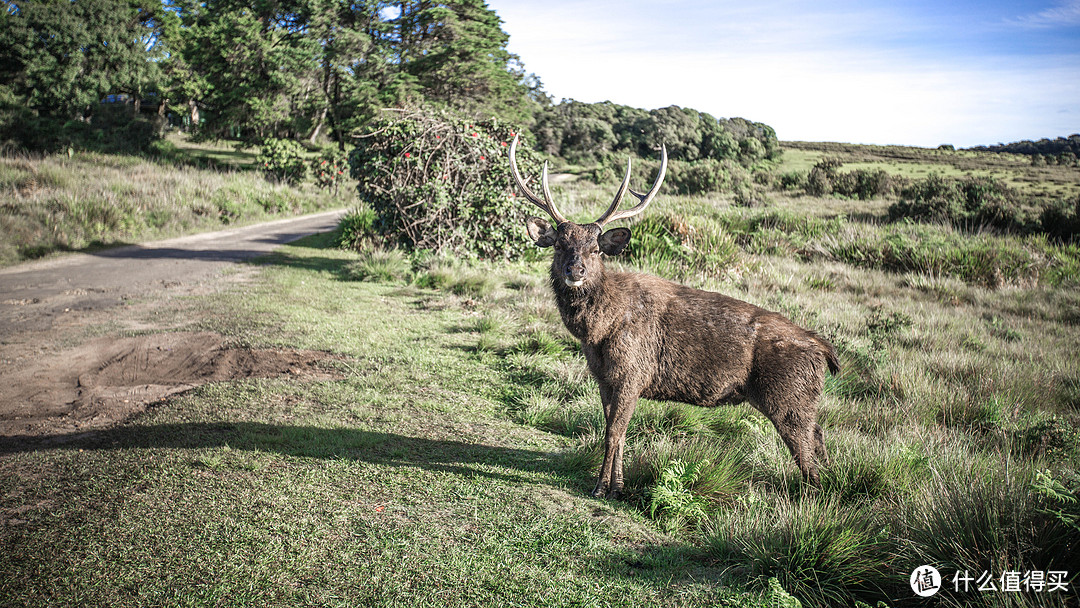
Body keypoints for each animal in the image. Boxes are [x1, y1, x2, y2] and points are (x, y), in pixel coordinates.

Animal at [509, 135, 838, 496]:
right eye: (558, 245)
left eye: (595, 250)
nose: (575, 270)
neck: (598, 332)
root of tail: (825, 350)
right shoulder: (605, 378)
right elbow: (618, 432)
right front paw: (618, 487)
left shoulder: (632, 372)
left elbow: (612, 433)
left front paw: (600, 487)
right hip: (802, 401)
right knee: (819, 435)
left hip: (788, 397)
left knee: (806, 453)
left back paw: (811, 499)